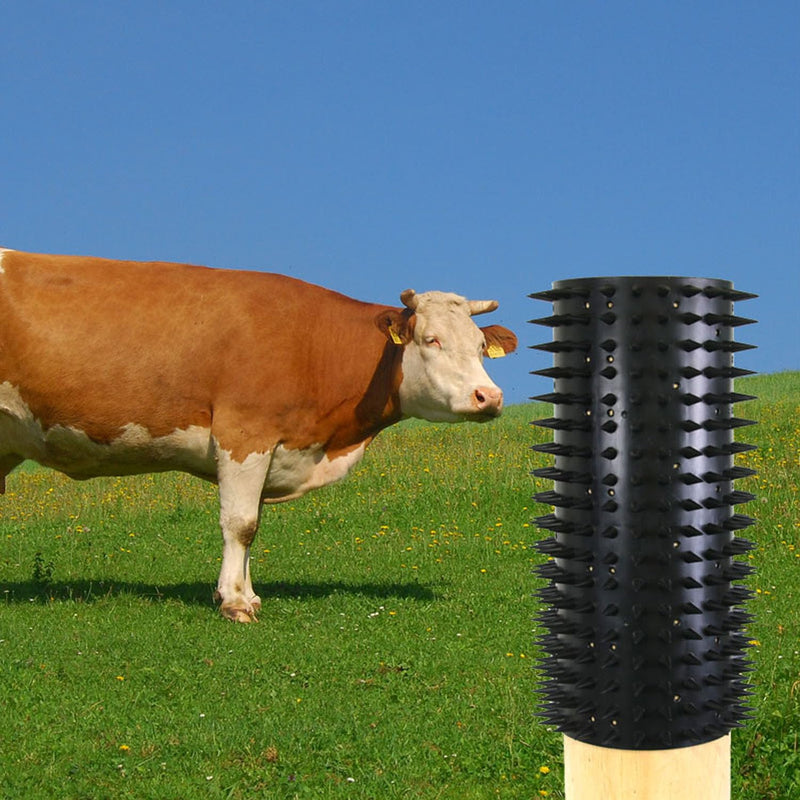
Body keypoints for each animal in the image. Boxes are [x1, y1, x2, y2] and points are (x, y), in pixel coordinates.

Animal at [0, 248, 517, 621]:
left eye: (480, 346)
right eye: (431, 340)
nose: (488, 397)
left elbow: (254, 524)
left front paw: (247, 594)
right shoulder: (245, 434)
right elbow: (241, 523)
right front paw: (234, 602)